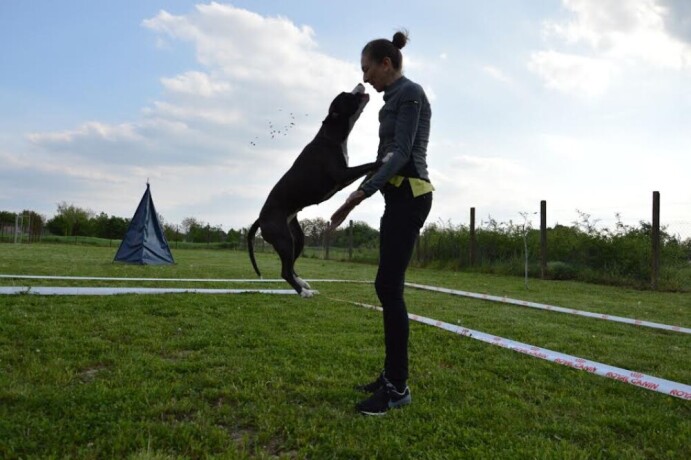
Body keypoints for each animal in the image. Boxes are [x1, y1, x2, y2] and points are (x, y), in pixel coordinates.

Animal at [247, 84, 378, 296]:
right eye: (346, 96)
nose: (360, 84)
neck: (331, 135)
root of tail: (260, 219)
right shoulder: (343, 175)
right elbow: (369, 164)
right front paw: (386, 157)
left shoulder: (344, 178)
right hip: (284, 240)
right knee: (285, 271)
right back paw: (303, 293)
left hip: (297, 239)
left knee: (291, 266)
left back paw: (303, 284)